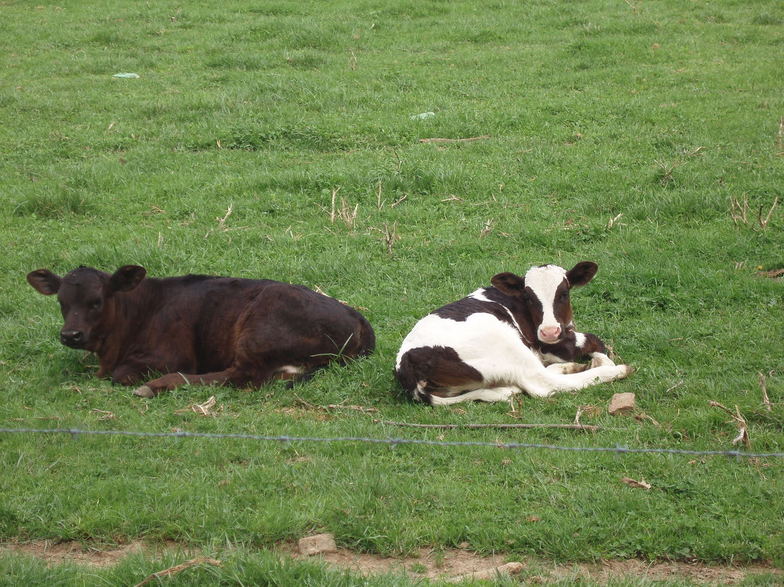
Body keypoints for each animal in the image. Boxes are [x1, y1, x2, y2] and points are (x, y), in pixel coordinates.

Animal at [27, 265, 376, 398]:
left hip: (256, 333)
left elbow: (121, 374)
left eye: (96, 301)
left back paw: (155, 386)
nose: (70, 335)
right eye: (61, 301)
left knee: (239, 377)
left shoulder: (170, 356)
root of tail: (358, 318)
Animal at [394, 261, 632, 406]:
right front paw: (602, 361)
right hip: (505, 346)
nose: (548, 331)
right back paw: (616, 370)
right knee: (544, 384)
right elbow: (595, 341)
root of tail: (408, 363)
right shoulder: (555, 344)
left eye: (564, 293)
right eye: (529, 298)